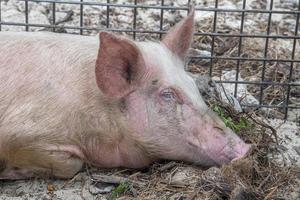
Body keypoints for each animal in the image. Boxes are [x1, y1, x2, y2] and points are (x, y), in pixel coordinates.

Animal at [0, 9, 251, 180]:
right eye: (167, 94)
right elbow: (72, 166)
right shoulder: (21, 132)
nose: (246, 148)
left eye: (192, 84)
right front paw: (9, 172)